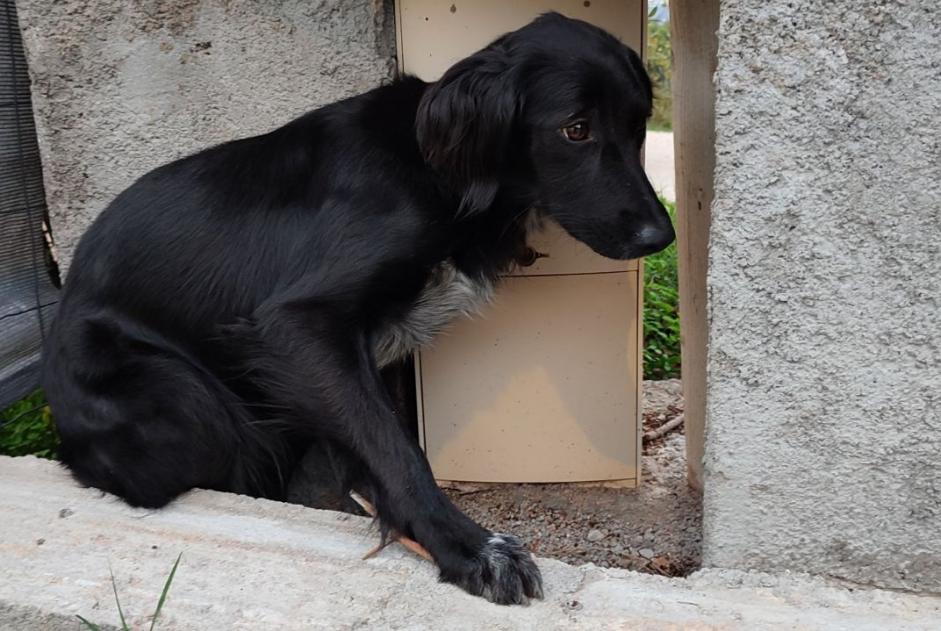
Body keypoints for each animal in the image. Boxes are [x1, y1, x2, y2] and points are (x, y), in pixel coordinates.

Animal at [44, 13, 672, 608]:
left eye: (640, 124)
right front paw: (468, 547)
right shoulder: (295, 323)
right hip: (187, 406)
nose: (660, 236)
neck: (434, 170)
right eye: (576, 129)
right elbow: (393, 448)